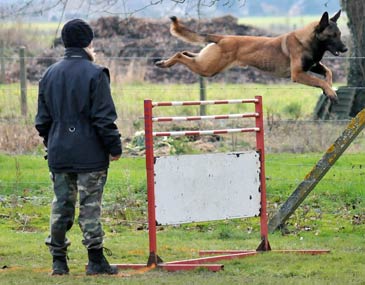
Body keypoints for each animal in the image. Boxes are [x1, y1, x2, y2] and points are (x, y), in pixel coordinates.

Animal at [154, 10, 346, 101]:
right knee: (179, 54)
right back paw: (164, 63)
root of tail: (222, 37)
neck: (307, 41)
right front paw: (330, 91)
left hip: (205, 62)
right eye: (332, 35)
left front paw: (329, 89)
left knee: (187, 53)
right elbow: (321, 79)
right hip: (207, 68)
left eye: (340, 34)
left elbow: (328, 73)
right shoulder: (298, 74)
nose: (345, 49)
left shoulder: (313, 66)